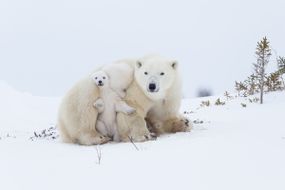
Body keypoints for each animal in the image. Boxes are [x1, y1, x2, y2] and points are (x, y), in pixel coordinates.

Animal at [57, 55, 191, 145]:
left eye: (162, 73)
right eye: (146, 73)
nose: (151, 86)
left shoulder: (170, 96)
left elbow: (163, 117)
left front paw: (183, 123)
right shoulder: (136, 88)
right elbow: (133, 108)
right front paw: (144, 135)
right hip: (85, 93)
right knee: (85, 113)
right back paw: (99, 138)